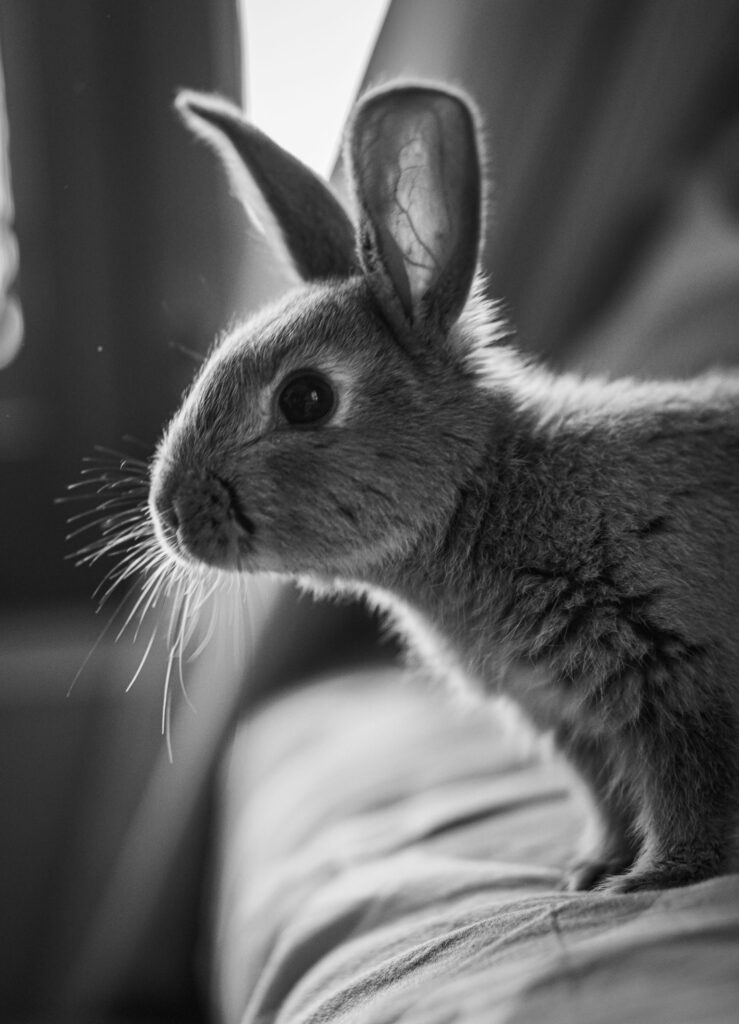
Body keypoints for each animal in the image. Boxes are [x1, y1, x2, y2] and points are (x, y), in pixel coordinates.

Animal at [148, 81, 739, 894]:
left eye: (305, 398)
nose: (168, 513)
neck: (485, 491)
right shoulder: (568, 720)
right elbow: (608, 798)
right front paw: (590, 870)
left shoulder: (677, 682)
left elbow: (687, 795)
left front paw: (651, 880)